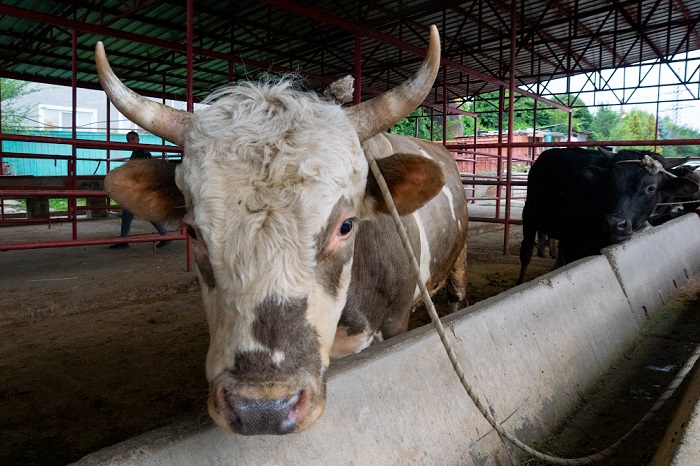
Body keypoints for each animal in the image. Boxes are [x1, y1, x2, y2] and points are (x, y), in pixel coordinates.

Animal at [516, 147, 696, 284]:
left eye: (651, 188)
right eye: (611, 181)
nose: (614, 224)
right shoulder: (573, 241)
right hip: (530, 215)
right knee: (526, 252)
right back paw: (520, 281)